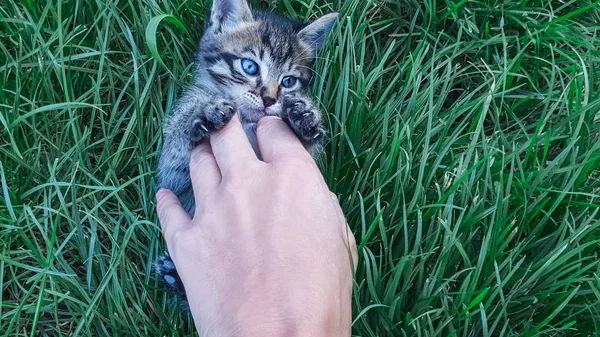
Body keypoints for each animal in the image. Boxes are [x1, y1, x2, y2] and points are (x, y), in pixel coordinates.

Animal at [154, 0, 338, 308]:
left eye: (289, 81)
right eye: (250, 66)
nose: (269, 99)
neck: (247, 119)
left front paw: (306, 119)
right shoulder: (172, 177)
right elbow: (177, 144)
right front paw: (201, 113)